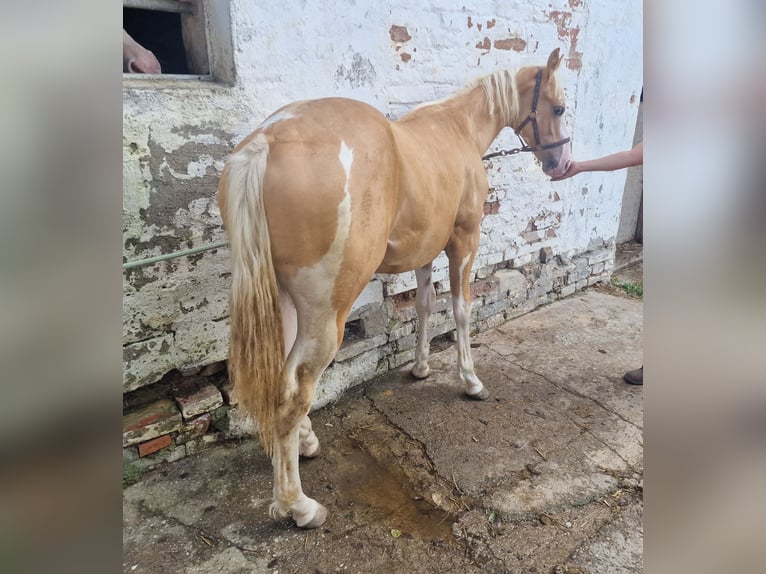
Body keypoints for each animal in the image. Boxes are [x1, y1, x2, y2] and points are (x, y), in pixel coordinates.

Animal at [219, 49, 572, 532]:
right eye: (558, 108)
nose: (562, 164)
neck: (457, 128)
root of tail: (266, 143)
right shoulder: (464, 240)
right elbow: (460, 309)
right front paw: (470, 380)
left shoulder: (425, 249)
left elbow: (423, 305)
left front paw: (420, 367)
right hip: (326, 312)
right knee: (294, 391)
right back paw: (299, 505)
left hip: (286, 302)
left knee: (284, 379)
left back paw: (304, 443)